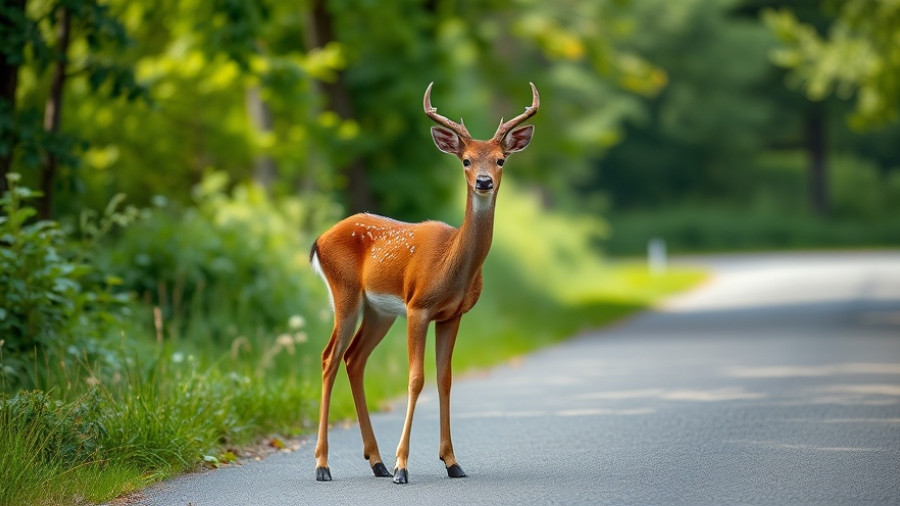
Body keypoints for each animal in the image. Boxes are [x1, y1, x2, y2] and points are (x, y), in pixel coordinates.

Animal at [309, 82, 538, 484]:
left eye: (500, 160)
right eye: (465, 160)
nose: (483, 182)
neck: (451, 263)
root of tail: (320, 239)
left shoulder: (453, 314)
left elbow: (445, 379)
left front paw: (452, 462)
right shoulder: (418, 308)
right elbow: (416, 378)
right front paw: (404, 466)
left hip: (380, 312)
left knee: (354, 359)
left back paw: (376, 461)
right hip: (346, 293)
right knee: (329, 357)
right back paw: (324, 465)